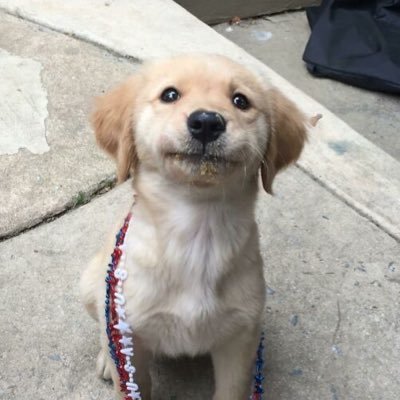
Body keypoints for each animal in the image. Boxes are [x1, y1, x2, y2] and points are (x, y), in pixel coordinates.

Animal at [80, 54, 307, 400]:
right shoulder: (130, 333)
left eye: (240, 101)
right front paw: (112, 363)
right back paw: (106, 359)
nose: (207, 122)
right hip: (91, 287)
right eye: (170, 95)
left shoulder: (240, 336)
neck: (198, 228)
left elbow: (231, 390)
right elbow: (130, 382)